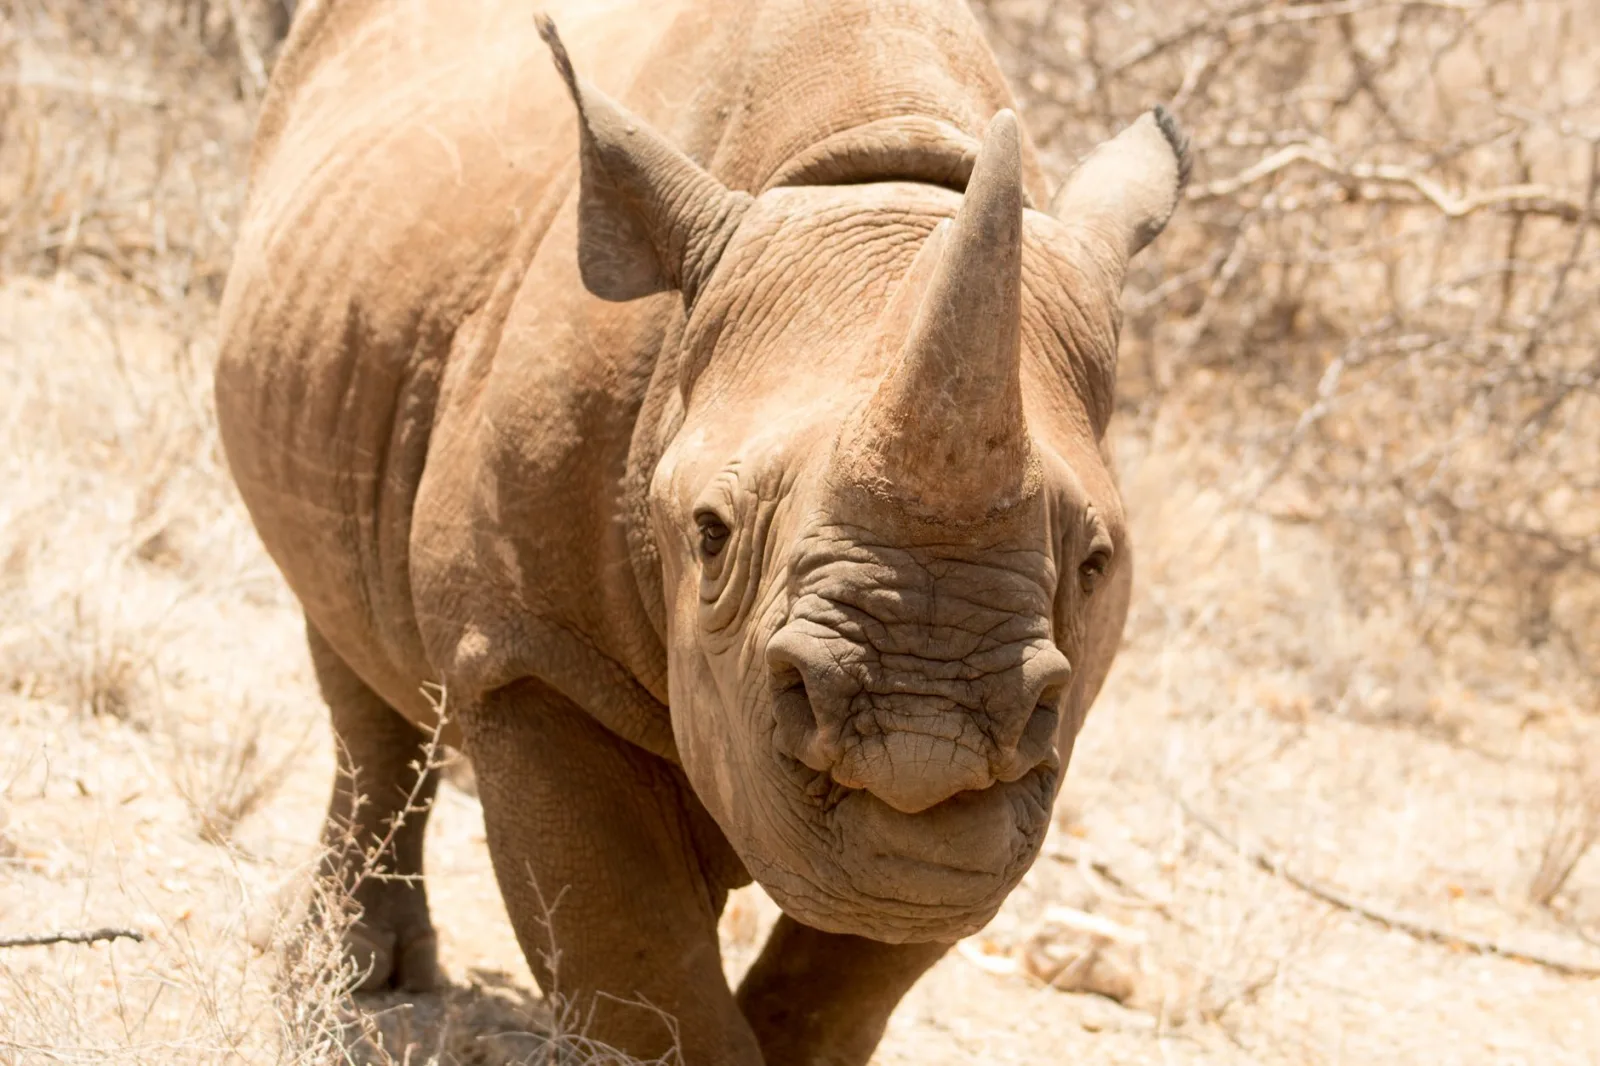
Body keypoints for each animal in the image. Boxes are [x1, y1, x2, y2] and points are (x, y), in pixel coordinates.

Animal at [215, 0, 1189, 1061]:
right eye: (711, 533)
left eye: (1095, 563)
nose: (922, 747)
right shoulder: (536, 654)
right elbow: (641, 969)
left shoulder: (1012, 780)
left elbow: (845, 976)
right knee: (348, 642)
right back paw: (359, 977)